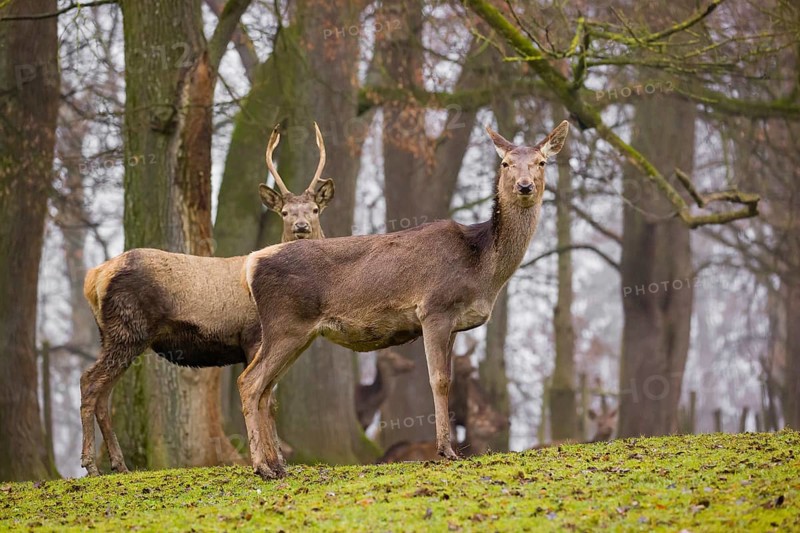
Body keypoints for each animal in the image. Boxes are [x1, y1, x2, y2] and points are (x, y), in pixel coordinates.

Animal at [78, 124, 334, 477]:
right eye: (284, 212)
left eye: (315, 210)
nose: (301, 227)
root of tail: (94, 276)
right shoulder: (255, 336)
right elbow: (265, 397)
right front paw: (272, 463)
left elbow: (266, 396)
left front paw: (278, 461)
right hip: (126, 329)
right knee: (89, 382)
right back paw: (91, 464)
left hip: (116, 335)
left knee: (104, 392)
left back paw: (119, 464)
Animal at [242, 120, 570, 479]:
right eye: (506, 163)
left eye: (542, 162)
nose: (525, 186)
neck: (481, 268)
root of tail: (250, 265)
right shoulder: (435, 308)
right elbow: (438, 380)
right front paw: (446, 451)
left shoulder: (455, 324)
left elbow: (448, 380)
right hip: (285, 324)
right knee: (250, 382)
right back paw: (262, 466)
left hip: (296, 333)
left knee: (265, 389)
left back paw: (276, 465)